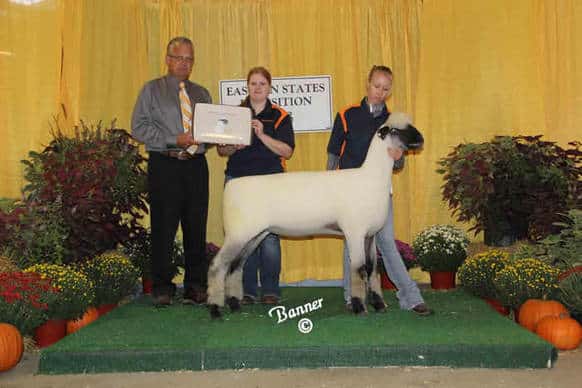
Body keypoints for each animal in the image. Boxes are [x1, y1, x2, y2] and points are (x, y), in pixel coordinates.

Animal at [208, 112, 422, 318]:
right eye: (395, 130)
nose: (421, 139)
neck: (372, 177)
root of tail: (231, 186)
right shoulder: (355, 232)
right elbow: (359, 269)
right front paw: (360, 307)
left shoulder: (371, 234)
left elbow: (373, 270)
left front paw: (378, 305)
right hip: (238, 233)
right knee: (217, 266)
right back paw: (215, 309)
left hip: (254, 235)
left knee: (235, 266)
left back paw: (234, 305)